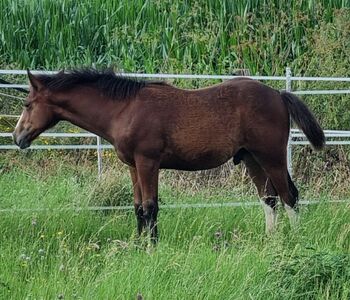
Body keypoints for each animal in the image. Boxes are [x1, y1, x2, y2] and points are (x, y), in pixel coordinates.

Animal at [13, 69, 326, 243]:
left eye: (27, 104)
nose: (17, 137)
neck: (125, 109)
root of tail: (278, 93)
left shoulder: (148, 163)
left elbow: (150, 207)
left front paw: (152, 248)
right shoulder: (133, 166)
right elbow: (138, 207)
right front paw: (138, 244)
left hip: (271, 156)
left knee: (289, 196)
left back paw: (295, 241)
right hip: (251, 158)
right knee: (269, 198)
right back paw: (270, 240)